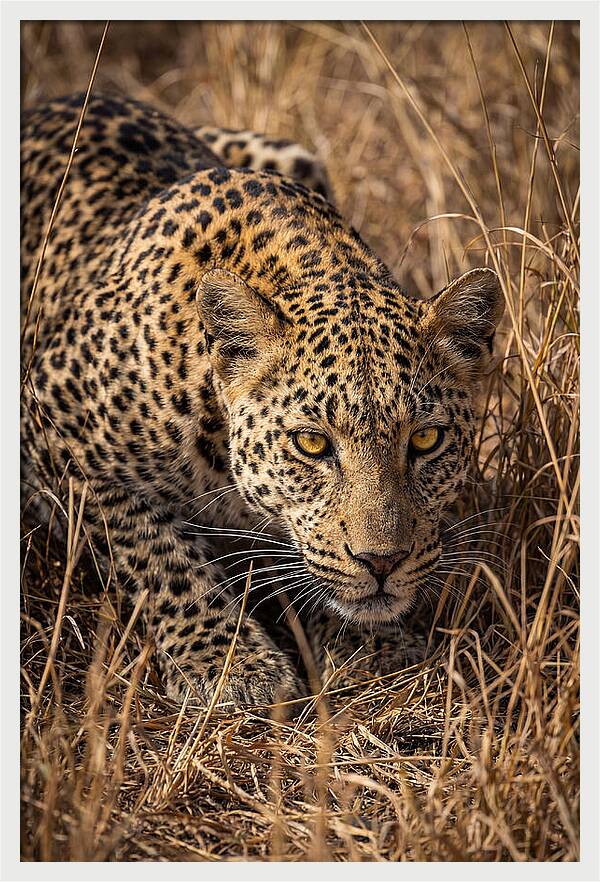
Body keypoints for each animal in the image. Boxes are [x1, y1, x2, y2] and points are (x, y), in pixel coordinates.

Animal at [21, 92, 504, 707]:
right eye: (312, 444)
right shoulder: (50, 420)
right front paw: (230, 664)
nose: (382, 562)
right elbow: (154, 551)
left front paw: (375, 648)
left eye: (425, 439)